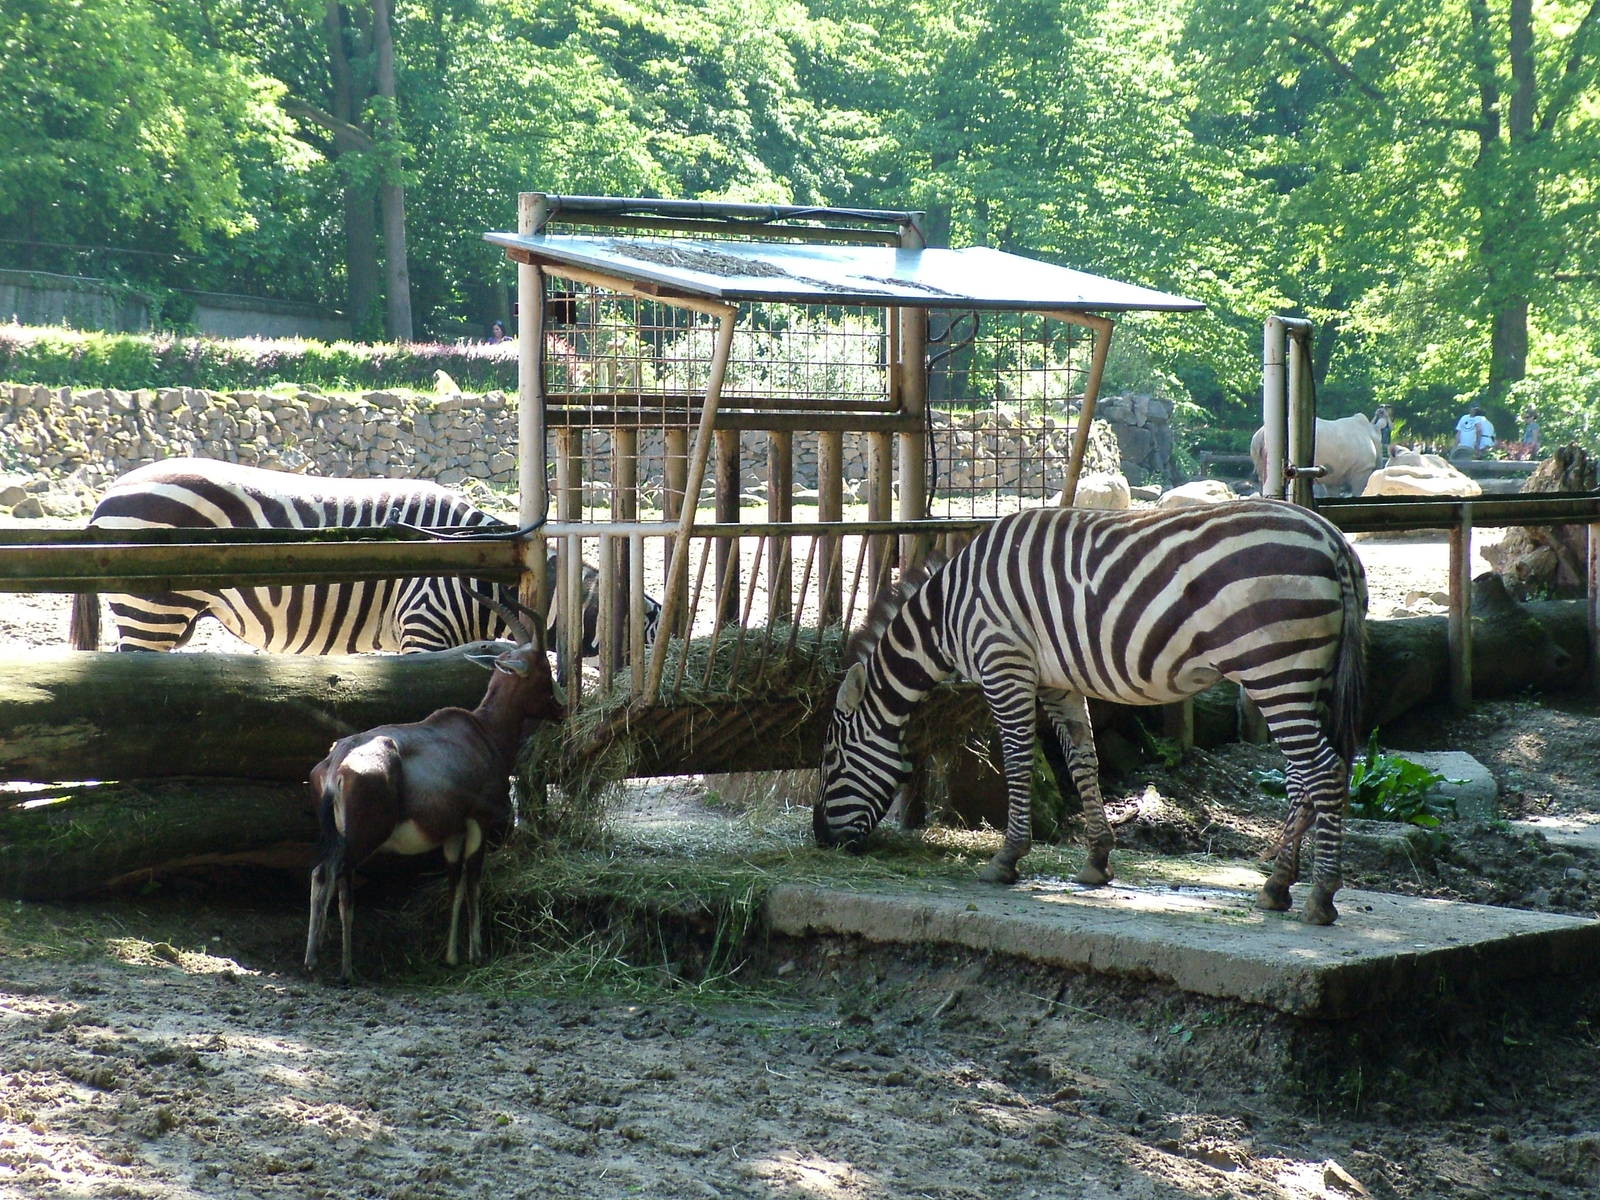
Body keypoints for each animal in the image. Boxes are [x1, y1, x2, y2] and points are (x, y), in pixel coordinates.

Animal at [815, 500, 1367, 926]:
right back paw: (1277, 886)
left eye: (831, 760)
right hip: (1306, 678)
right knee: (1304, 777)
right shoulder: (1057, 682)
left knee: (1324, 772)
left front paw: (1006, 858)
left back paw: (1320, 897)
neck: (947, 614)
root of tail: (1331, 537)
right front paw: (1097, 859)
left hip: (1274, 668)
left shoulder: (1004, 664)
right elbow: (1084, 760)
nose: (820, 840)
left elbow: (1018, 761)